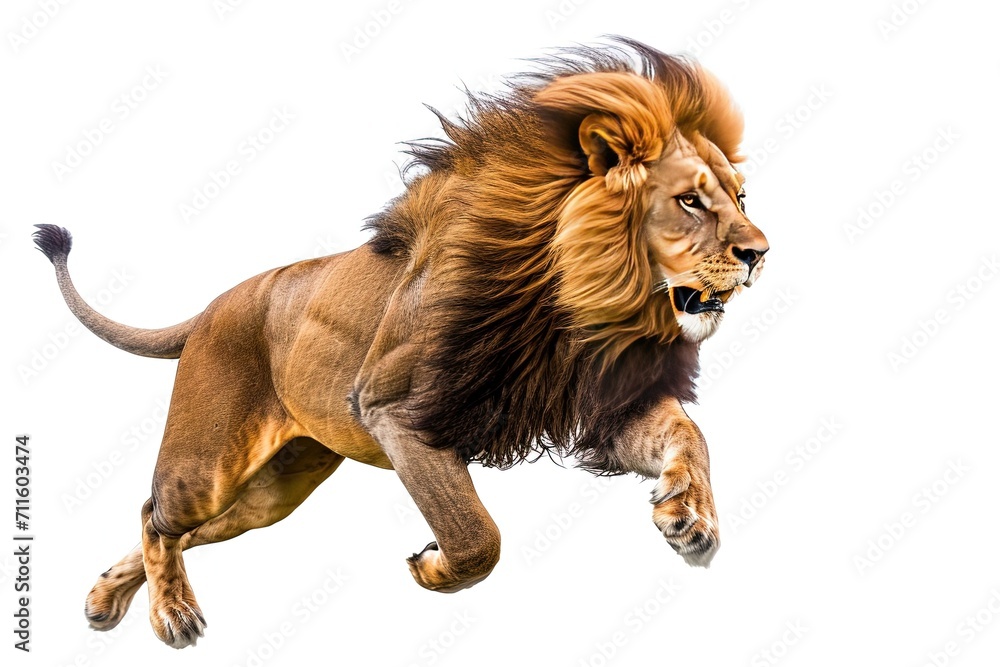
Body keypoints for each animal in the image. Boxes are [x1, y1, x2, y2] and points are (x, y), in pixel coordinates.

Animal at [34, 38, 767, 648]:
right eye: (690, 202)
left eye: (740, 196)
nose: (760, 252)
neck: (576, 306)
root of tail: (215, 306)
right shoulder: (398, 411)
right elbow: (478, 534)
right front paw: (433, 567)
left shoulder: (597, 406)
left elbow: (691, 436)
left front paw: (690, 518)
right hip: (207, 468)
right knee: (156, 514)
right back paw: (172, 614)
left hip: (275, 490)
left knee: (178, 527)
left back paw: (104, 597)